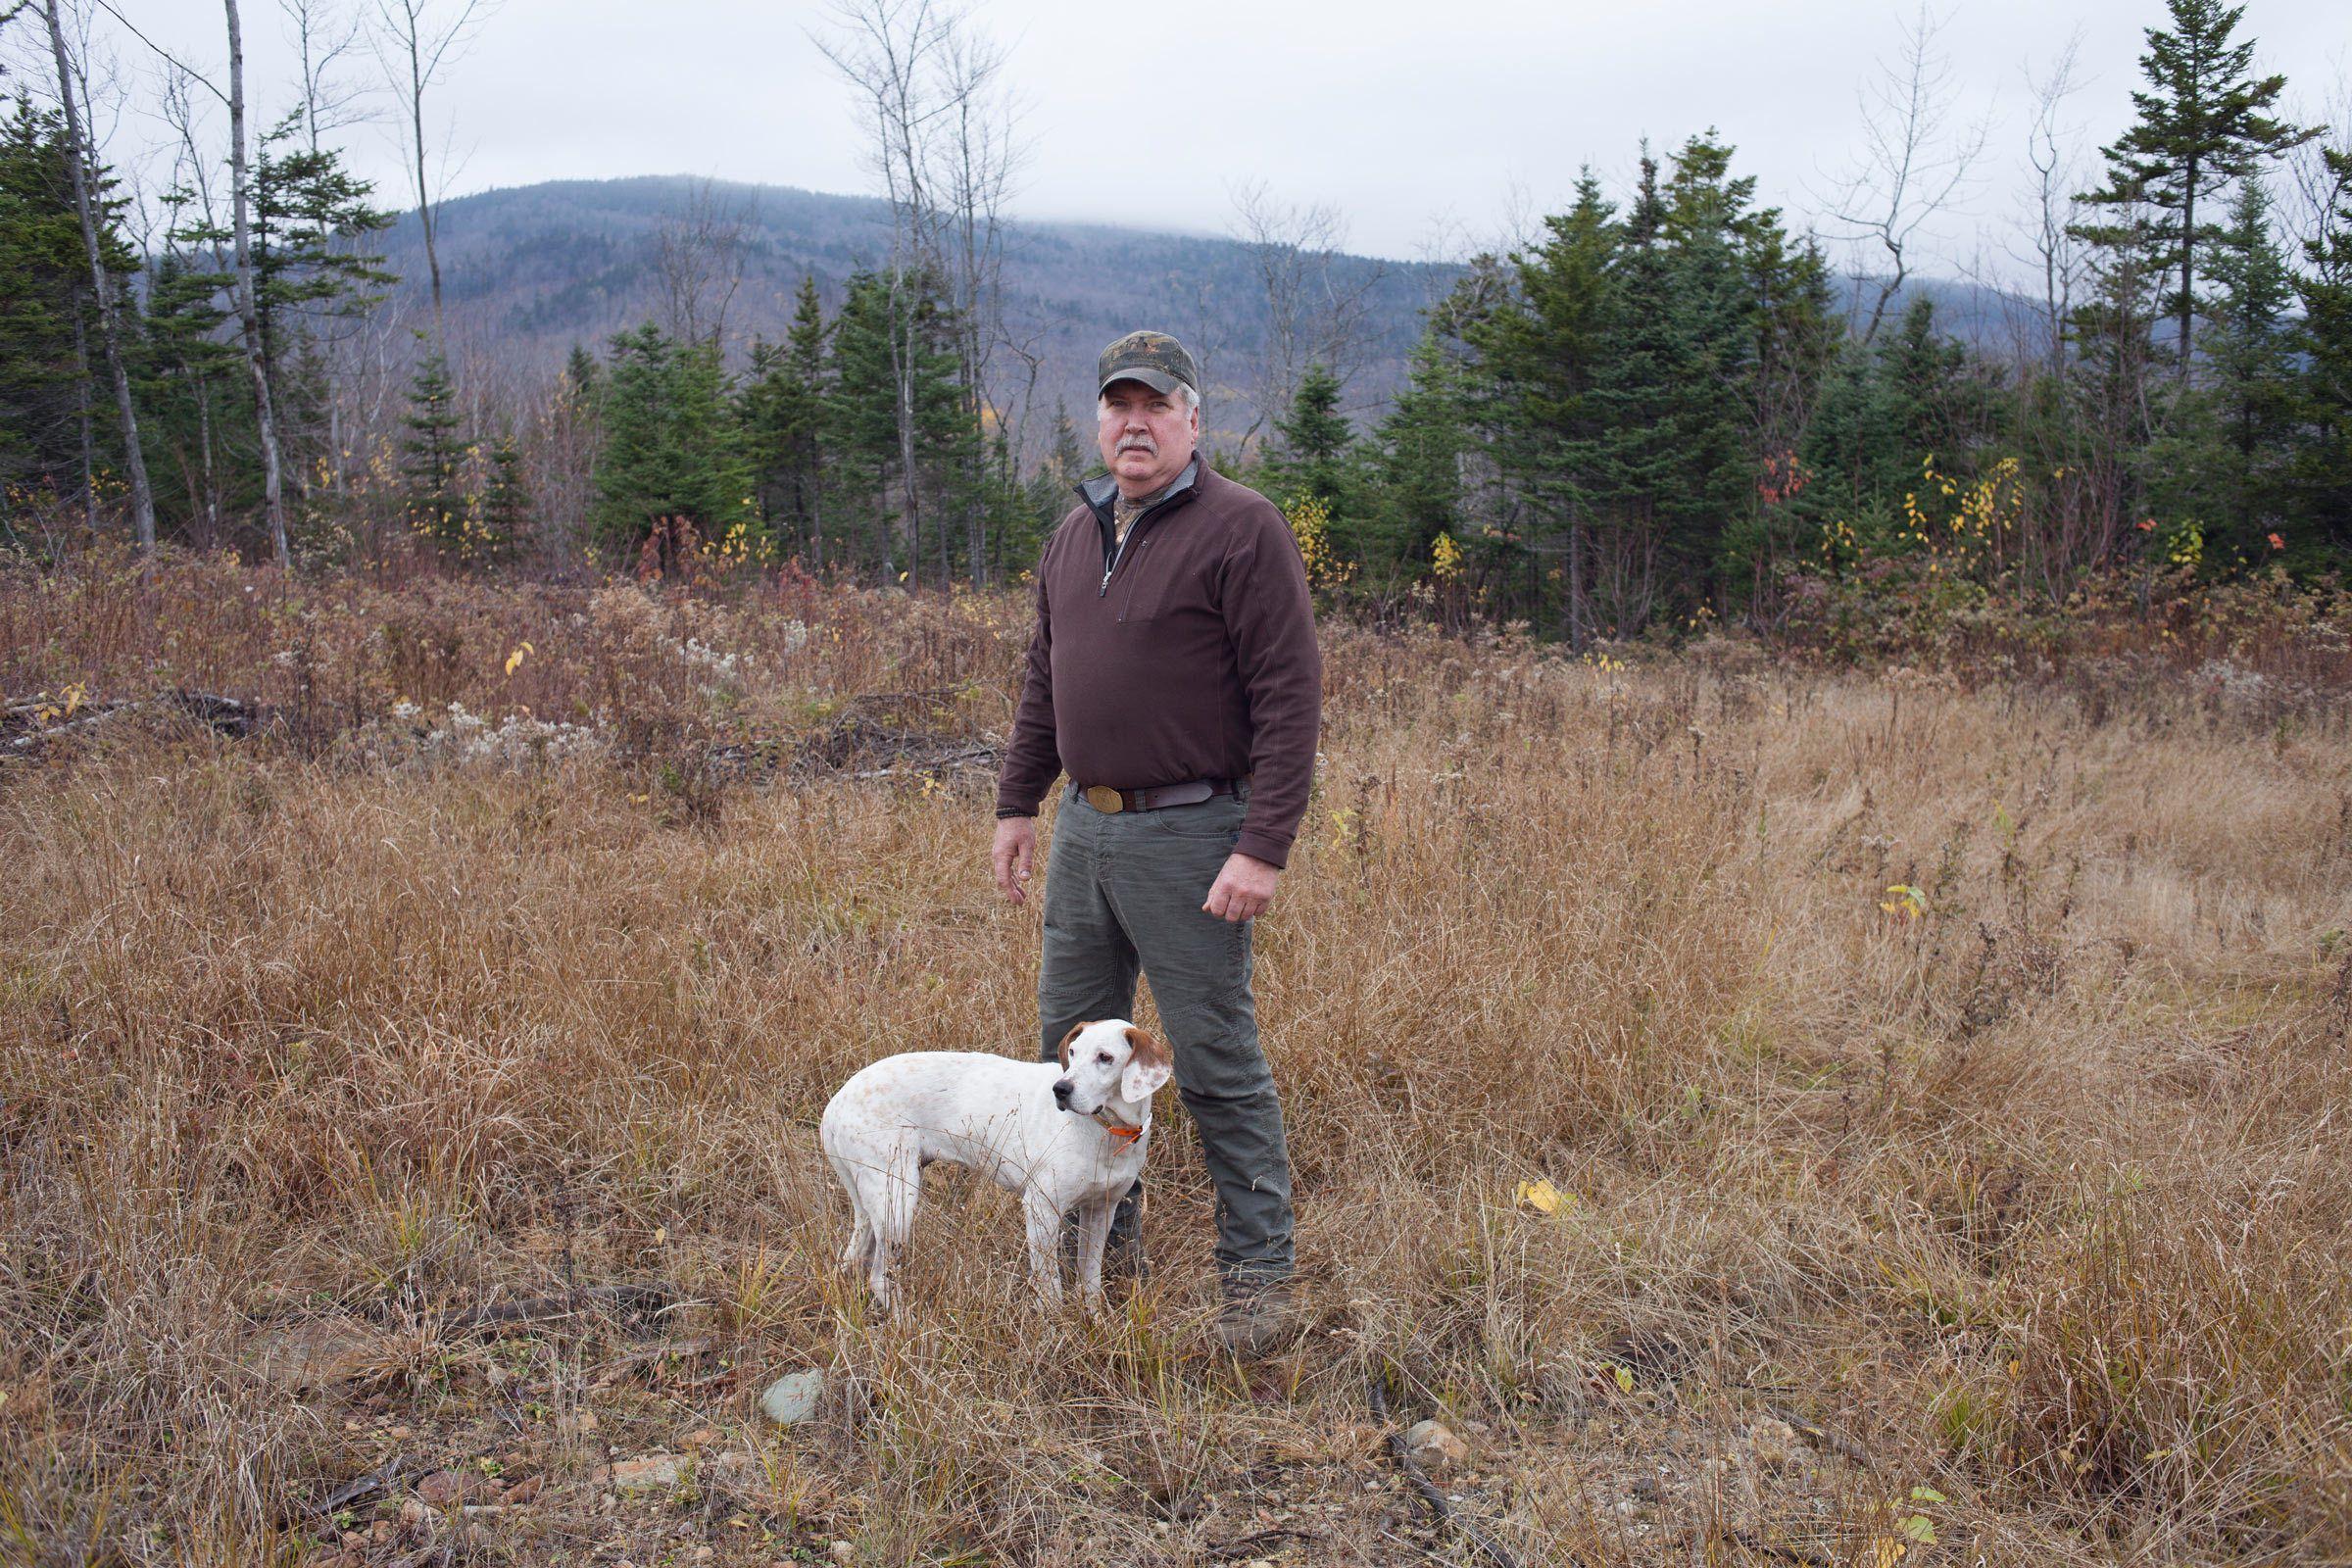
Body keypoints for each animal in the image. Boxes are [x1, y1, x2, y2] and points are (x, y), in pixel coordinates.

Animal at [823, 1020, 1171, 1316]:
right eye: (1073, 1052)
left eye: (1105, 1057)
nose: (1060, 1089)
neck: (1109, 1133)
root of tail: (835, 1103)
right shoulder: (1041, 1209)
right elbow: (1050, 1288)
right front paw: (1056, 1334)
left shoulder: (1102, 1210)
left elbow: (1090, 1280)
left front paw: (1095, 1323)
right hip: (897, 1203)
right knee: (879, 1277)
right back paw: (908, 1323)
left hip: (877, 1205)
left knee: (857, 1260)